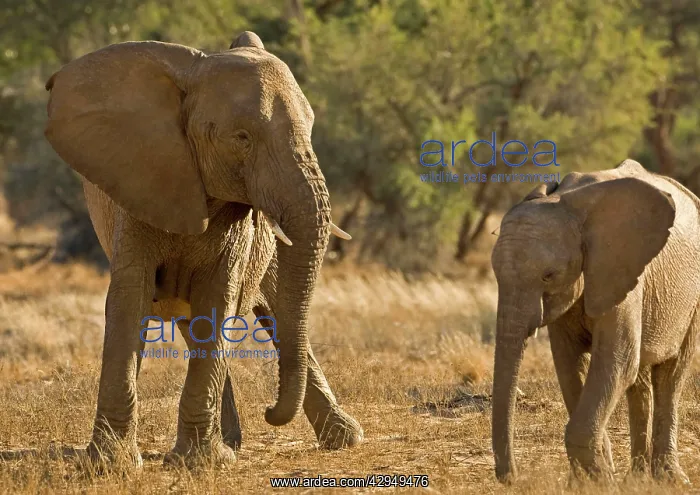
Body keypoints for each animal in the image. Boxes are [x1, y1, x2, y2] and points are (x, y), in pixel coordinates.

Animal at [42, 31, 363, 468]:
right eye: (242, 138)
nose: (270, 411)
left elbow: (218, 298)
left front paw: (201, 463)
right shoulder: (138, 189)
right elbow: (130, 300)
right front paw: (111, 463)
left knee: (276, 312)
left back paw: (342, 439)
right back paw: (232, 441)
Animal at [490, 159, 700, 484]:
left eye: (548, 275)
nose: (514, 478)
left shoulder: (619, 271)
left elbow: (615, 361)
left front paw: (601, 479)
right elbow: (570, 364)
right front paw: (591, 478)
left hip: (692, 301)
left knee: (671, 374)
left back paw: (669, 479)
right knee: (639, 379)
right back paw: (637, 479)